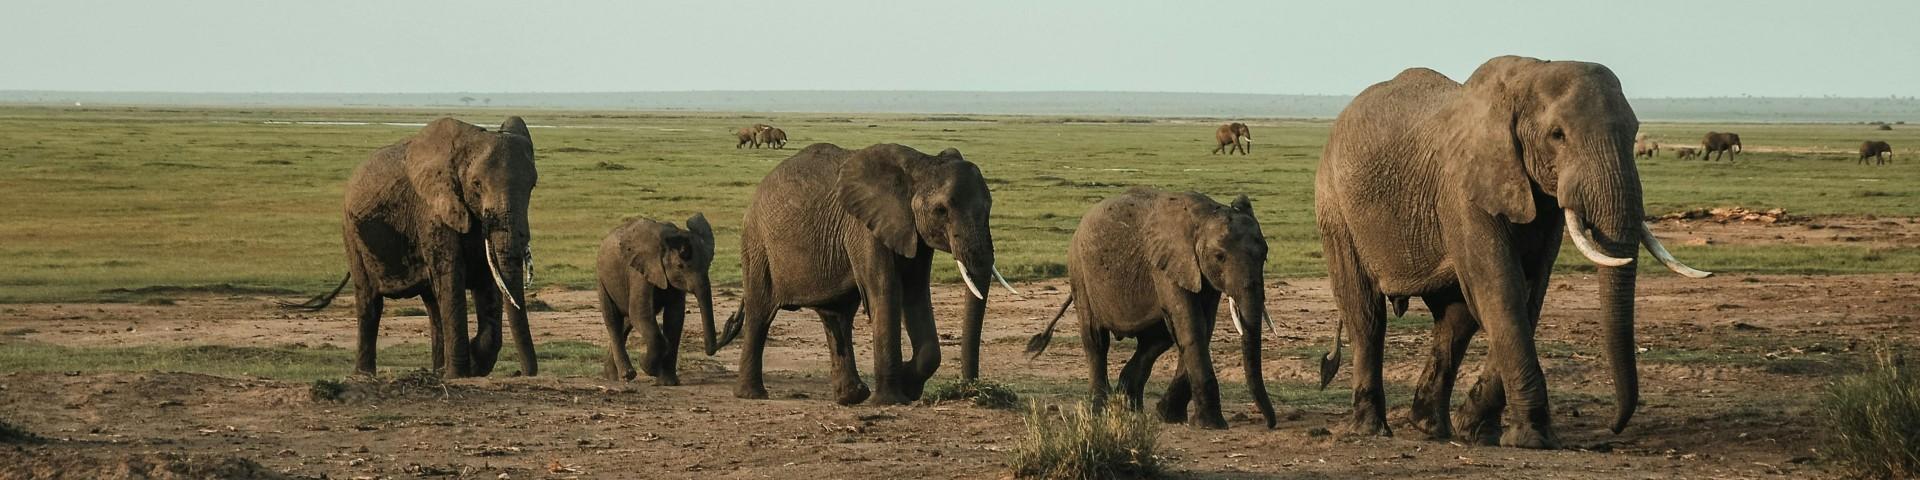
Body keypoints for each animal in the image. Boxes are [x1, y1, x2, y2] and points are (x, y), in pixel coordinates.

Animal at [282, 117, 540, 378]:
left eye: (532, 185)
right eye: (476, 184)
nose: (526, 373)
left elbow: (488, 280)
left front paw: (471, 363)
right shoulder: (431, 212)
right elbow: (451, 279)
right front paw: (458, 374)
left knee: (433, 305)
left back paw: (437, 370)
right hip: (351, 233)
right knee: (369, 302)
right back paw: (365, 375)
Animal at [595, 213, 717, 385]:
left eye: (708, 265)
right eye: (680, 266)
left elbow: (674, 318)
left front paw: (669, 383)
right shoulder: (640, 272)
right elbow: (641, 314)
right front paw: (645, 366)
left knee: (626, 322)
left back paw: (612, 376)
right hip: (603, 279)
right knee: (613, 319)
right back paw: (626, 375)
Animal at [714, 143, 1016, 405]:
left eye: (989, 207)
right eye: (941, 210)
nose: (973, 390)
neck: (921, 164)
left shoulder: (912, 232)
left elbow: (917, 292)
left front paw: (908, 385)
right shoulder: (864, 227)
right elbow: (886, 290)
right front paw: (891, 400)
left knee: (836, 316)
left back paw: (851, 397)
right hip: (757, 244)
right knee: (761, 313)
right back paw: (752, 395)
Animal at [1025, 187, 1277, 430]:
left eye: (1265, 256)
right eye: (1220, 256)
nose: (1271, 423)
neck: (1205, 215)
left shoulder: (1201, 273)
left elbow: (1203, 327)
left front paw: (1169, 417)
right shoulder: (1166, 265)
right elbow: (1190, 326)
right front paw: (1211, 425)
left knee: (1155, 340)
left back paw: (1129, 407)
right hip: (1079, 271)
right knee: (1096, 339)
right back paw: (1100, 410)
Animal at [1312, 56, 1711, 449]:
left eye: (1633, 133)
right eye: (1557, 135)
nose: (1614, 428)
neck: (1529, 75)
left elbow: (1528, 295)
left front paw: (1478, 430)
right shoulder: (1463, 191)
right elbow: (1502, 291)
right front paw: (1533, 439)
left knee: (1454, 320)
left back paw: (1430, 428)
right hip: (1335, 207)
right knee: (1366, 314)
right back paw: (1370, 430)